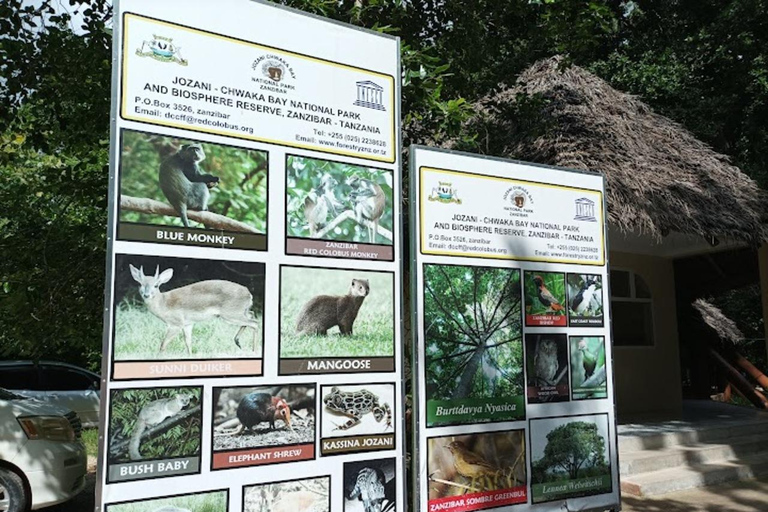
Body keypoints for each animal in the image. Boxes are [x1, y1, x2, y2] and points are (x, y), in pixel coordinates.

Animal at [129, 266, 260, 354]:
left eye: (156, 285)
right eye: (140, 284)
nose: (146, 295)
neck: (163, 303)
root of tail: (249, 293)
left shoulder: (176, 323)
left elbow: (163, 344)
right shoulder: (188, 324)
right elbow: (188, 343)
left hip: (231, 313)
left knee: (254, 323)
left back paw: (253, 350)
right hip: (239, 311)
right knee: (252, 314)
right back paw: (238, 342)